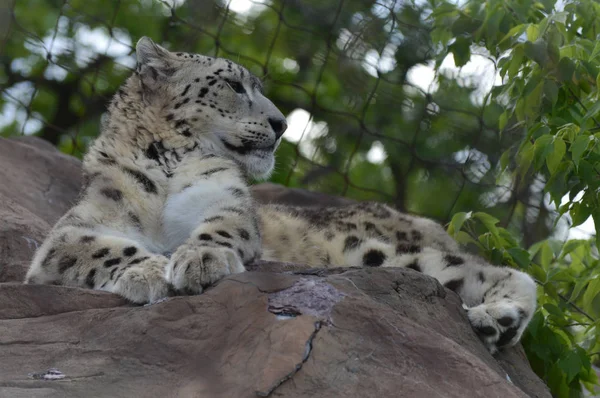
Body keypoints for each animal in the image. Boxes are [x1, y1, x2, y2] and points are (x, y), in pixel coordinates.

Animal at [25, 37, 536, 352]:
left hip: (372, 249)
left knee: (498, 272)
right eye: (232, 84)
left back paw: (495, 318)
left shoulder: (227, 203)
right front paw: (147, 271)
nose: (282, 123)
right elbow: (102, 248)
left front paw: (200, 259)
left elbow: (222, 227)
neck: (168, 166)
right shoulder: (73, 229)